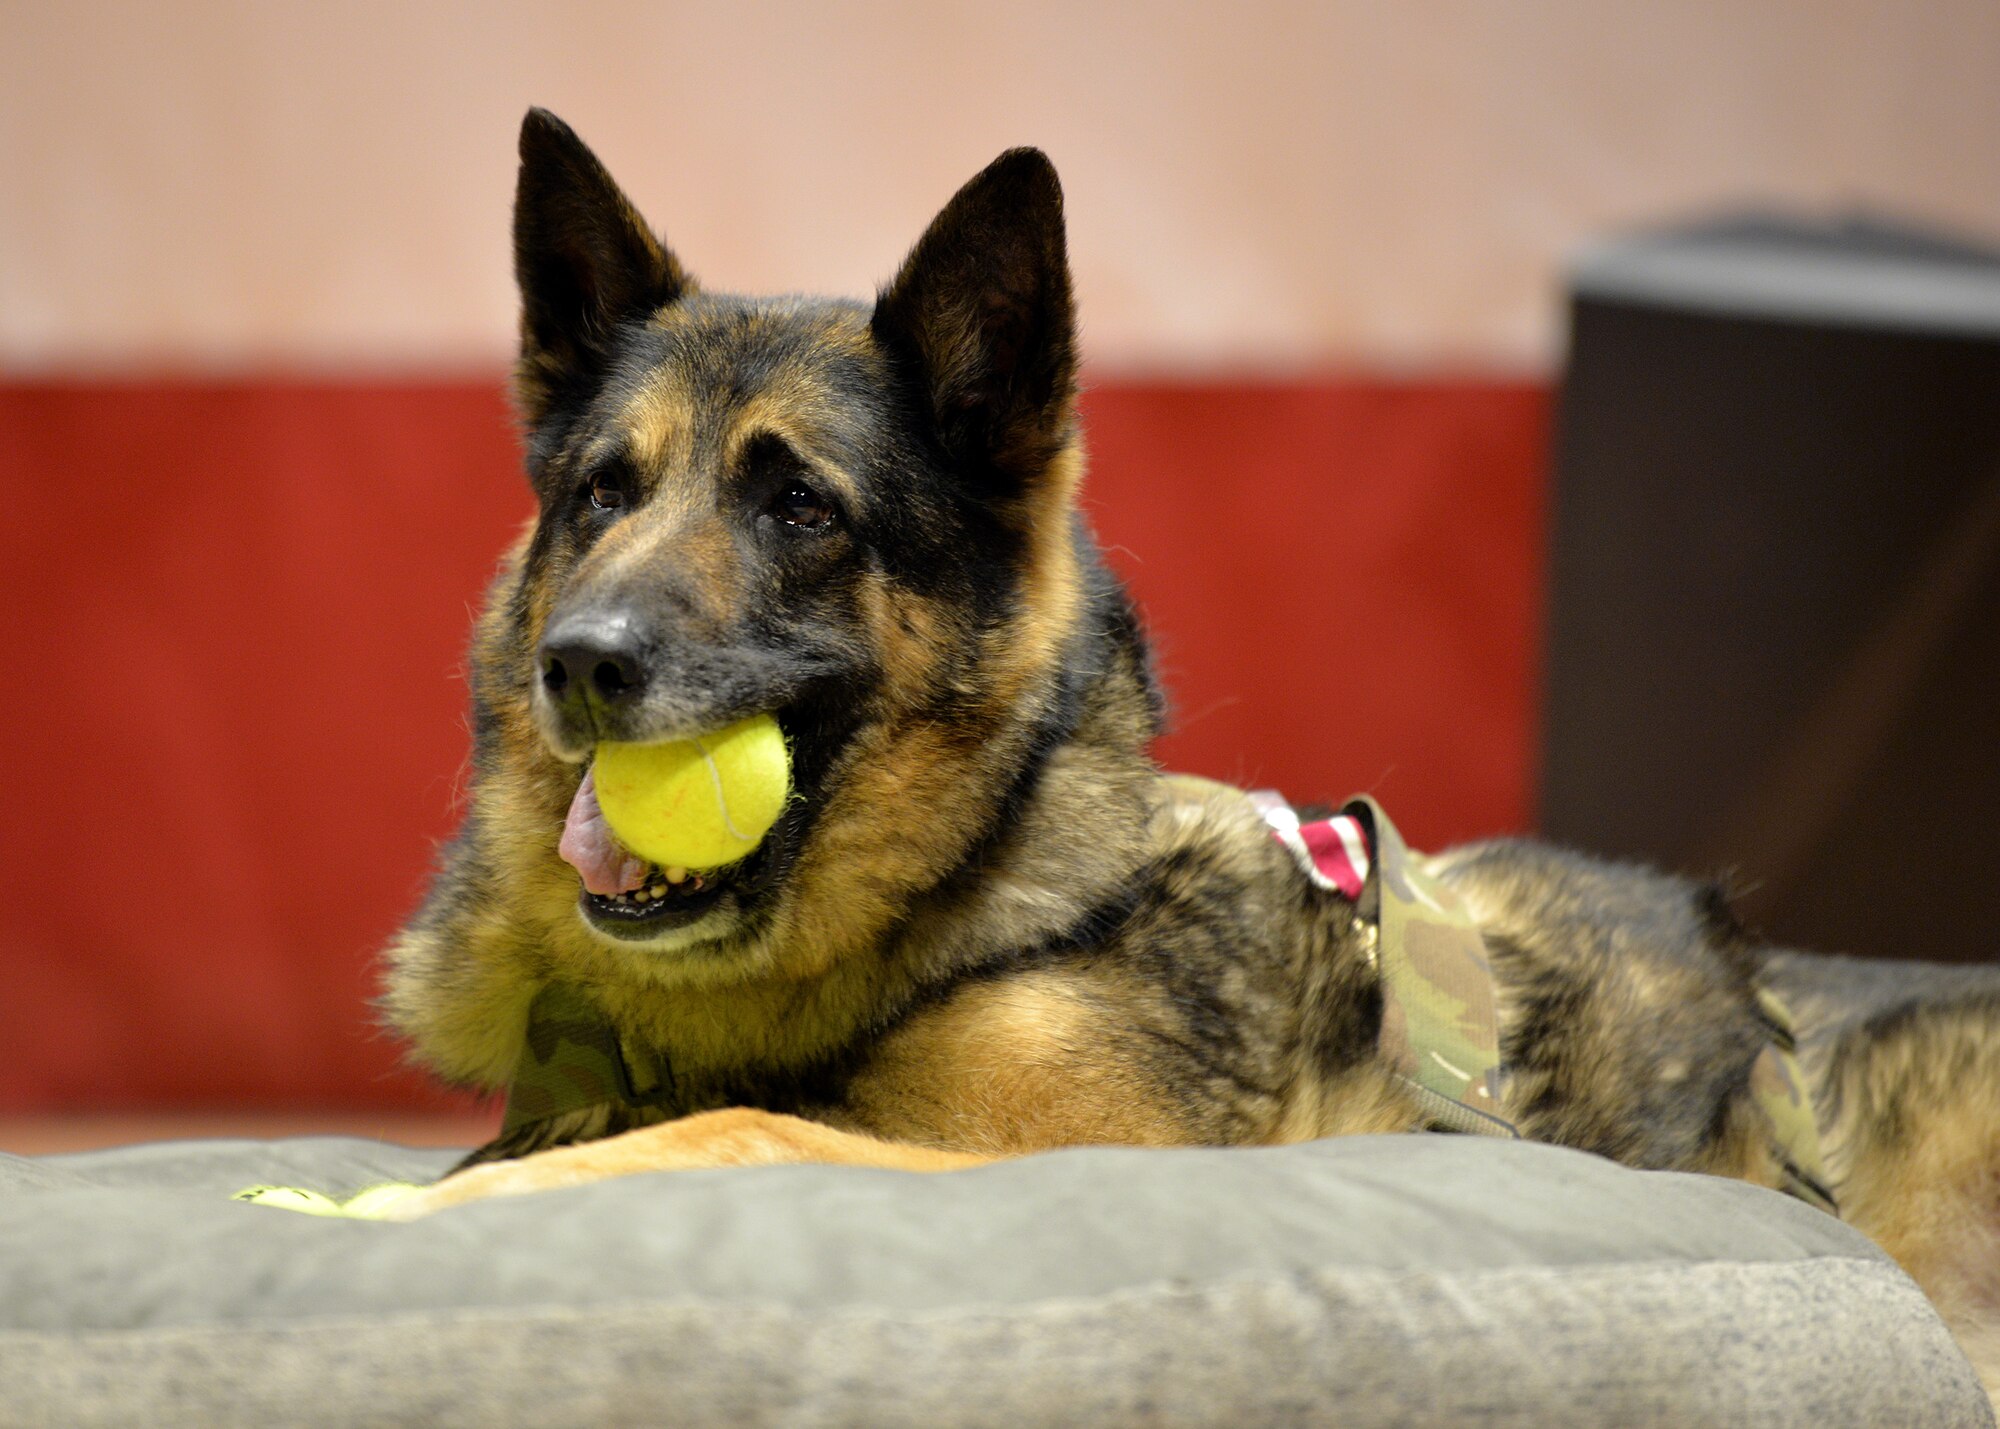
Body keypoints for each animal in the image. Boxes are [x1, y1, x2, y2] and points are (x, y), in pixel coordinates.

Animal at [378, 108, 2000, 1392]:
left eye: (801, 508)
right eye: (602, 492)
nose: (578, 664)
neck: (983, 877)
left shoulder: (1039, 1160)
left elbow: (732, 1134)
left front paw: (422, 1216)